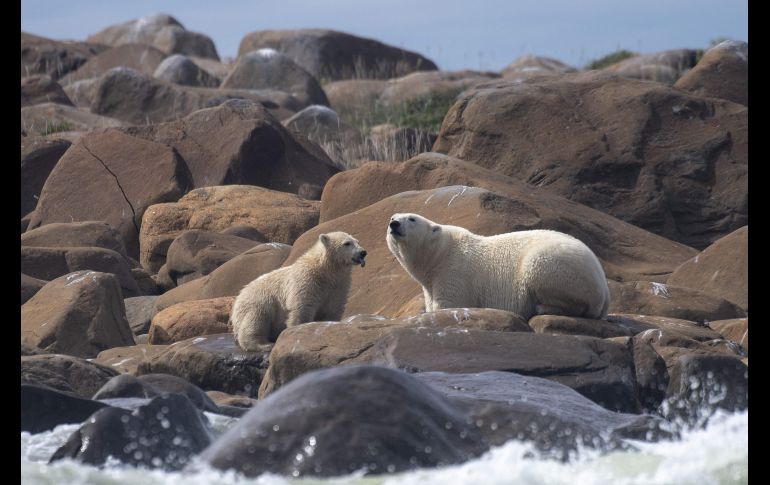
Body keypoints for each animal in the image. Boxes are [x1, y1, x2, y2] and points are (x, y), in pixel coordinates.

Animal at [230, 231, 366, 351]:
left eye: (358, 241)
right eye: (347, 243)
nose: (363, 252)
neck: (325, 271)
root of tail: (239, 296)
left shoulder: (338, 285)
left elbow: (332, 308)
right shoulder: (307, 280)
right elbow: (302, 306)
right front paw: (298, 331)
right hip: (259, 299)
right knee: (256, 318)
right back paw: (263, 345)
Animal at [386, 213, 609, 321]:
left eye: (412, 218)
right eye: (393, 217)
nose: (394, 224)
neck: (440, 253)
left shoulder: (454, 272)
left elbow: (449, 305)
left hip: (559, 266)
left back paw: (543, 307)